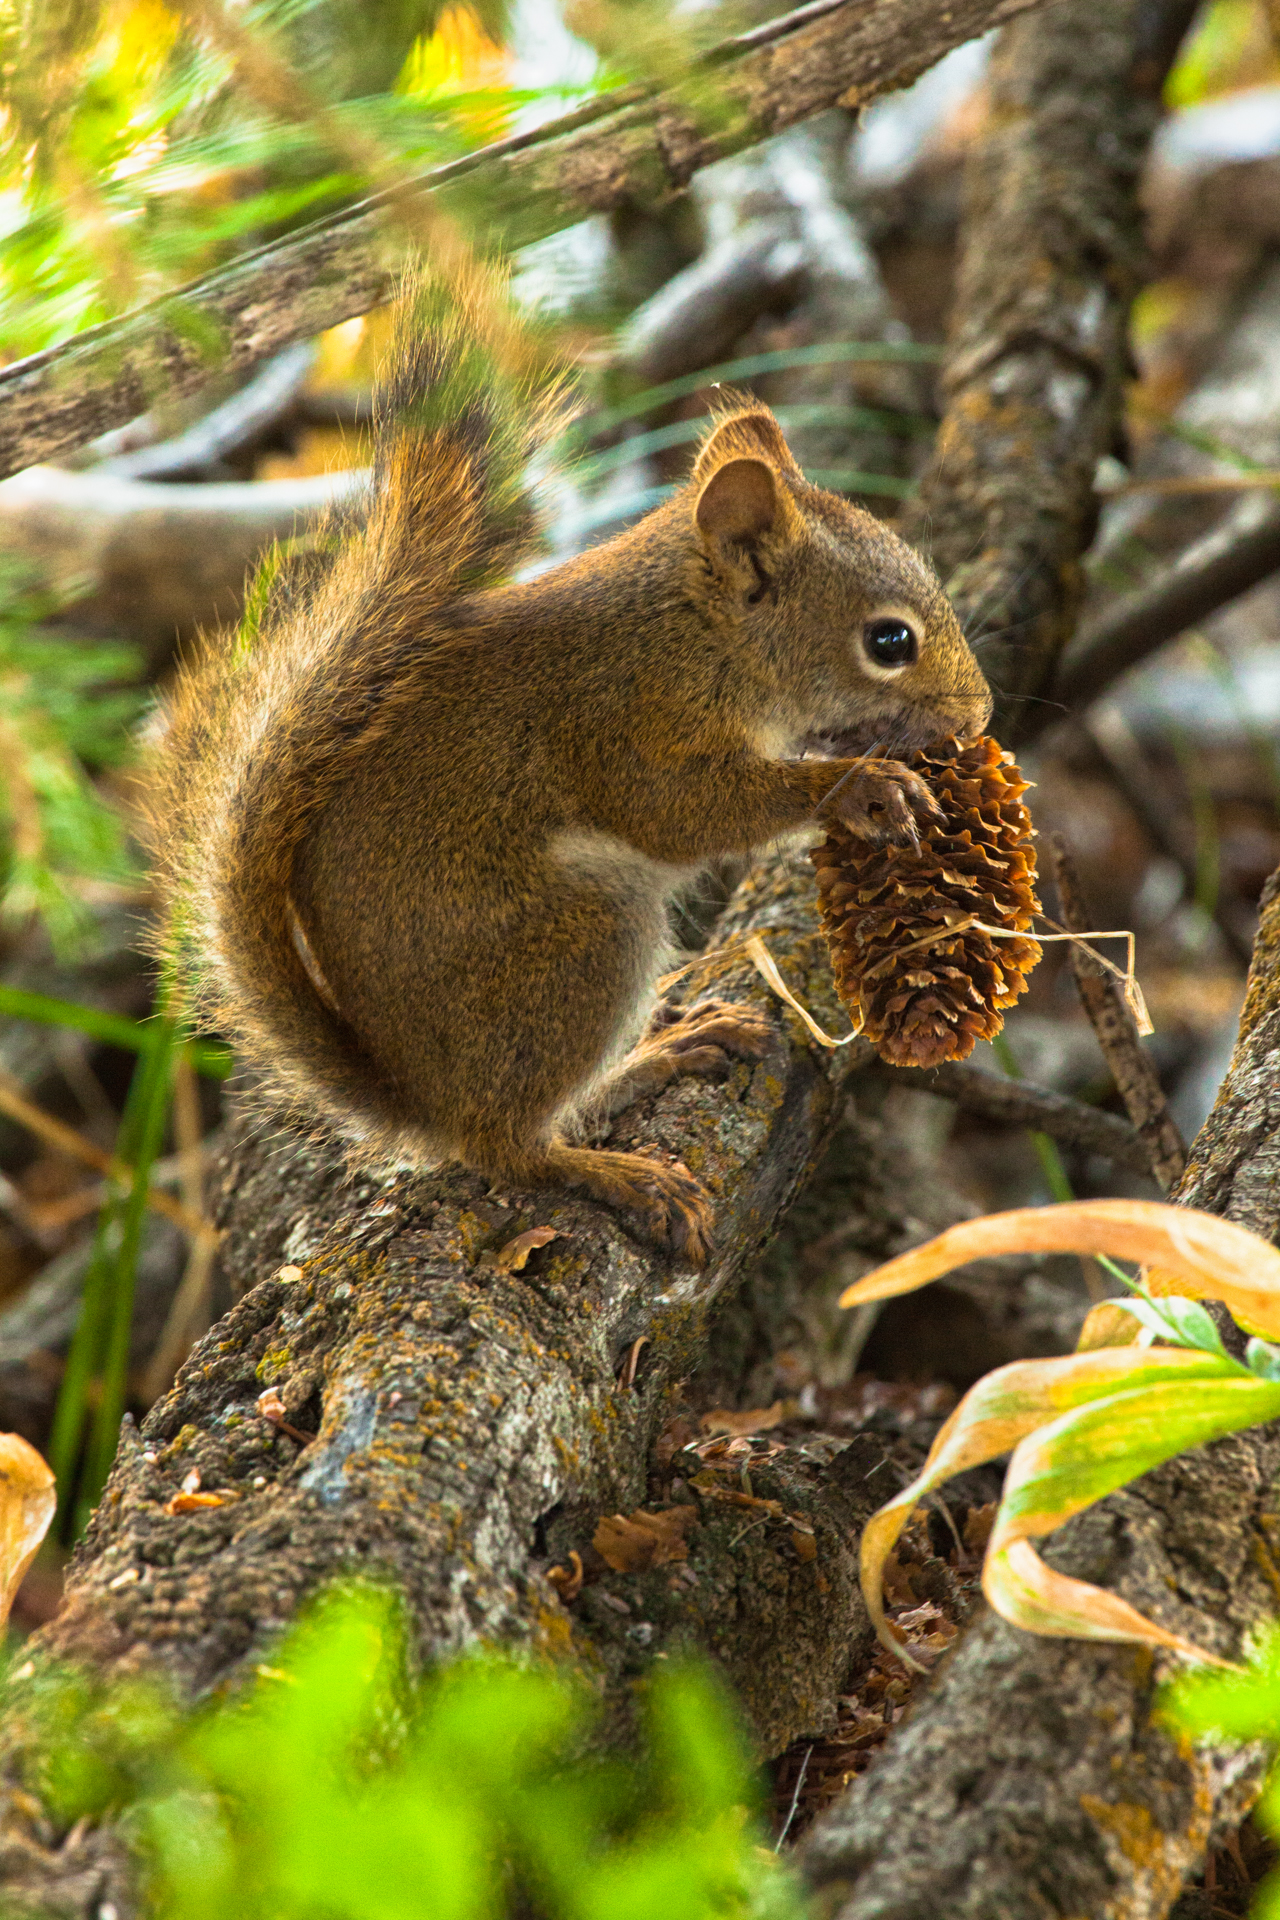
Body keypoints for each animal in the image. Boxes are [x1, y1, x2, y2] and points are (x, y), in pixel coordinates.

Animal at [151, 276, 991, 1267]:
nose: (979, 715)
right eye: (890, 641)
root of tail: (418, 1099)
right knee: (504, 1148)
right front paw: (859, 784)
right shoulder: (622, 724)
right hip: (584, 936)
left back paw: (669, 1052)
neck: (697, 628)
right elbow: (682, 816)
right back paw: (616, 1174)